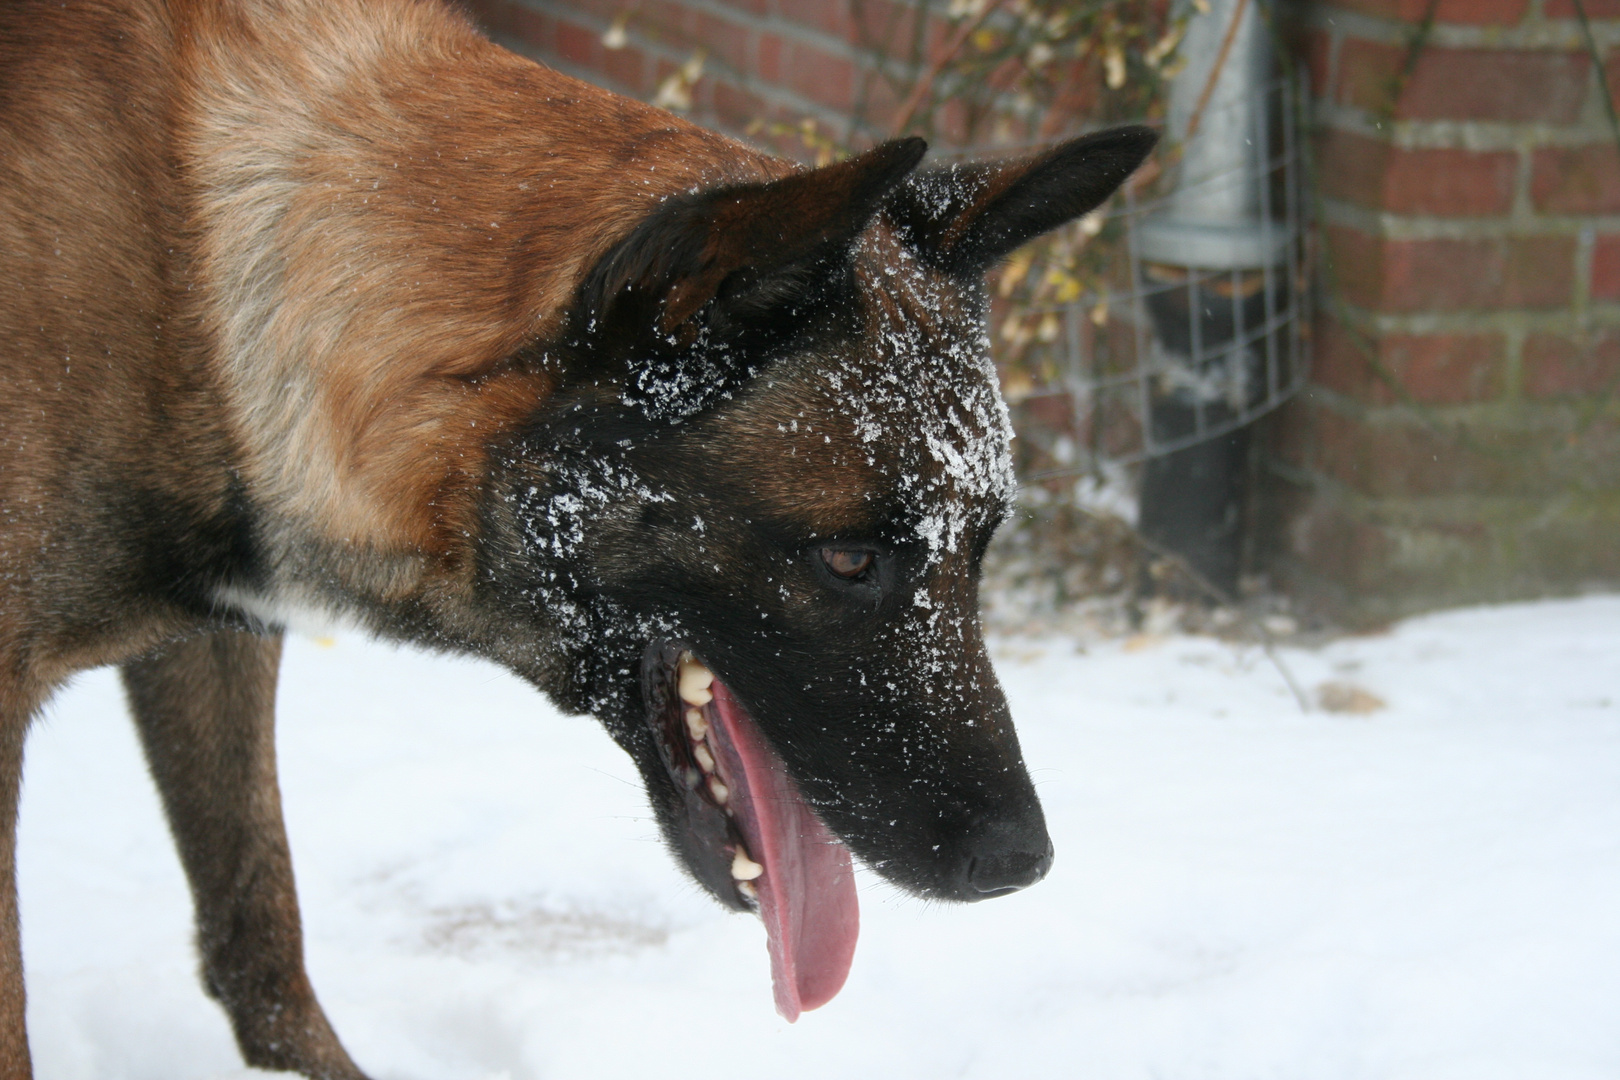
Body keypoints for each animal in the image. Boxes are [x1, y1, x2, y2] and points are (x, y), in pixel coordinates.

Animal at [3, 4, 1166, 1075]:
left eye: (981, 550)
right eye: (848, 561)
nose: (1021, 861)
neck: (207, 269)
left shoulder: (216, 638)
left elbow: (257, 924)